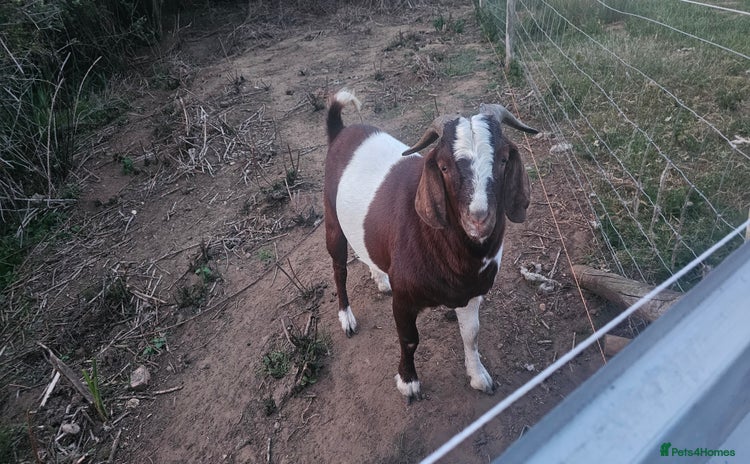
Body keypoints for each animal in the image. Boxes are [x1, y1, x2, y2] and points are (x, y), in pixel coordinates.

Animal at [323, 89, 538, 400]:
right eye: (444, 166)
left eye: (502, 159)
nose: (479, 218)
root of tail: (340, 131)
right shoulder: (404, 298)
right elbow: (409, 339)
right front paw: (408, 382)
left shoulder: (472, 291)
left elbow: (471, 334)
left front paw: (479, 377)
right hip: (332, 219)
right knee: (339, 268)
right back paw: (347, 319)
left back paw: (380, 280)